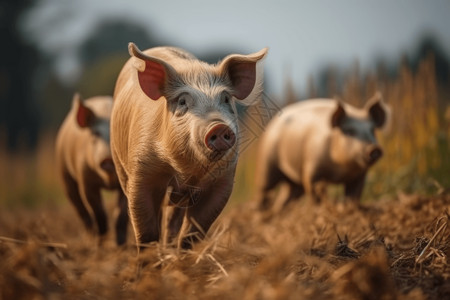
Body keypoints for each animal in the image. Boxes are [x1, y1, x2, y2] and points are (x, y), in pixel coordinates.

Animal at [55, 94, 128, 246]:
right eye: (95, 133)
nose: (108, 159)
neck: (108, 180)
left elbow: (121, 214)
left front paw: (121, 245)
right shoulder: (86, 180)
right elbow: (98, 211)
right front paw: (99, 243)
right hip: (64, 172)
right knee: (80, 208)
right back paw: (89, 240)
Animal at [111, 42, 268, 248]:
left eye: (226, 99)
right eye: (182, 102)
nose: (218, 126)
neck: (186, 171)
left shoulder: (223, 181)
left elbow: (193, 232)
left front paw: (183, 254)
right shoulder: (142, 171)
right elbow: (146, 231)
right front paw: (149, 256)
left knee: (172, 220)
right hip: (119, 163)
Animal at [255, 92, 388, 210]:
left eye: (372, 130)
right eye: (349, 131)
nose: (374, 149)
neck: (340, 170)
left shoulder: (359, 176)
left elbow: (354, 194)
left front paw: (351, 208)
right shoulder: (311, 168)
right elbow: (313, 190)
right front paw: (319, 209)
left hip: (294, 182)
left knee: (286, 196)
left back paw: (279, 212)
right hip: (267, 164)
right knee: (263, 190)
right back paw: (260, 212)